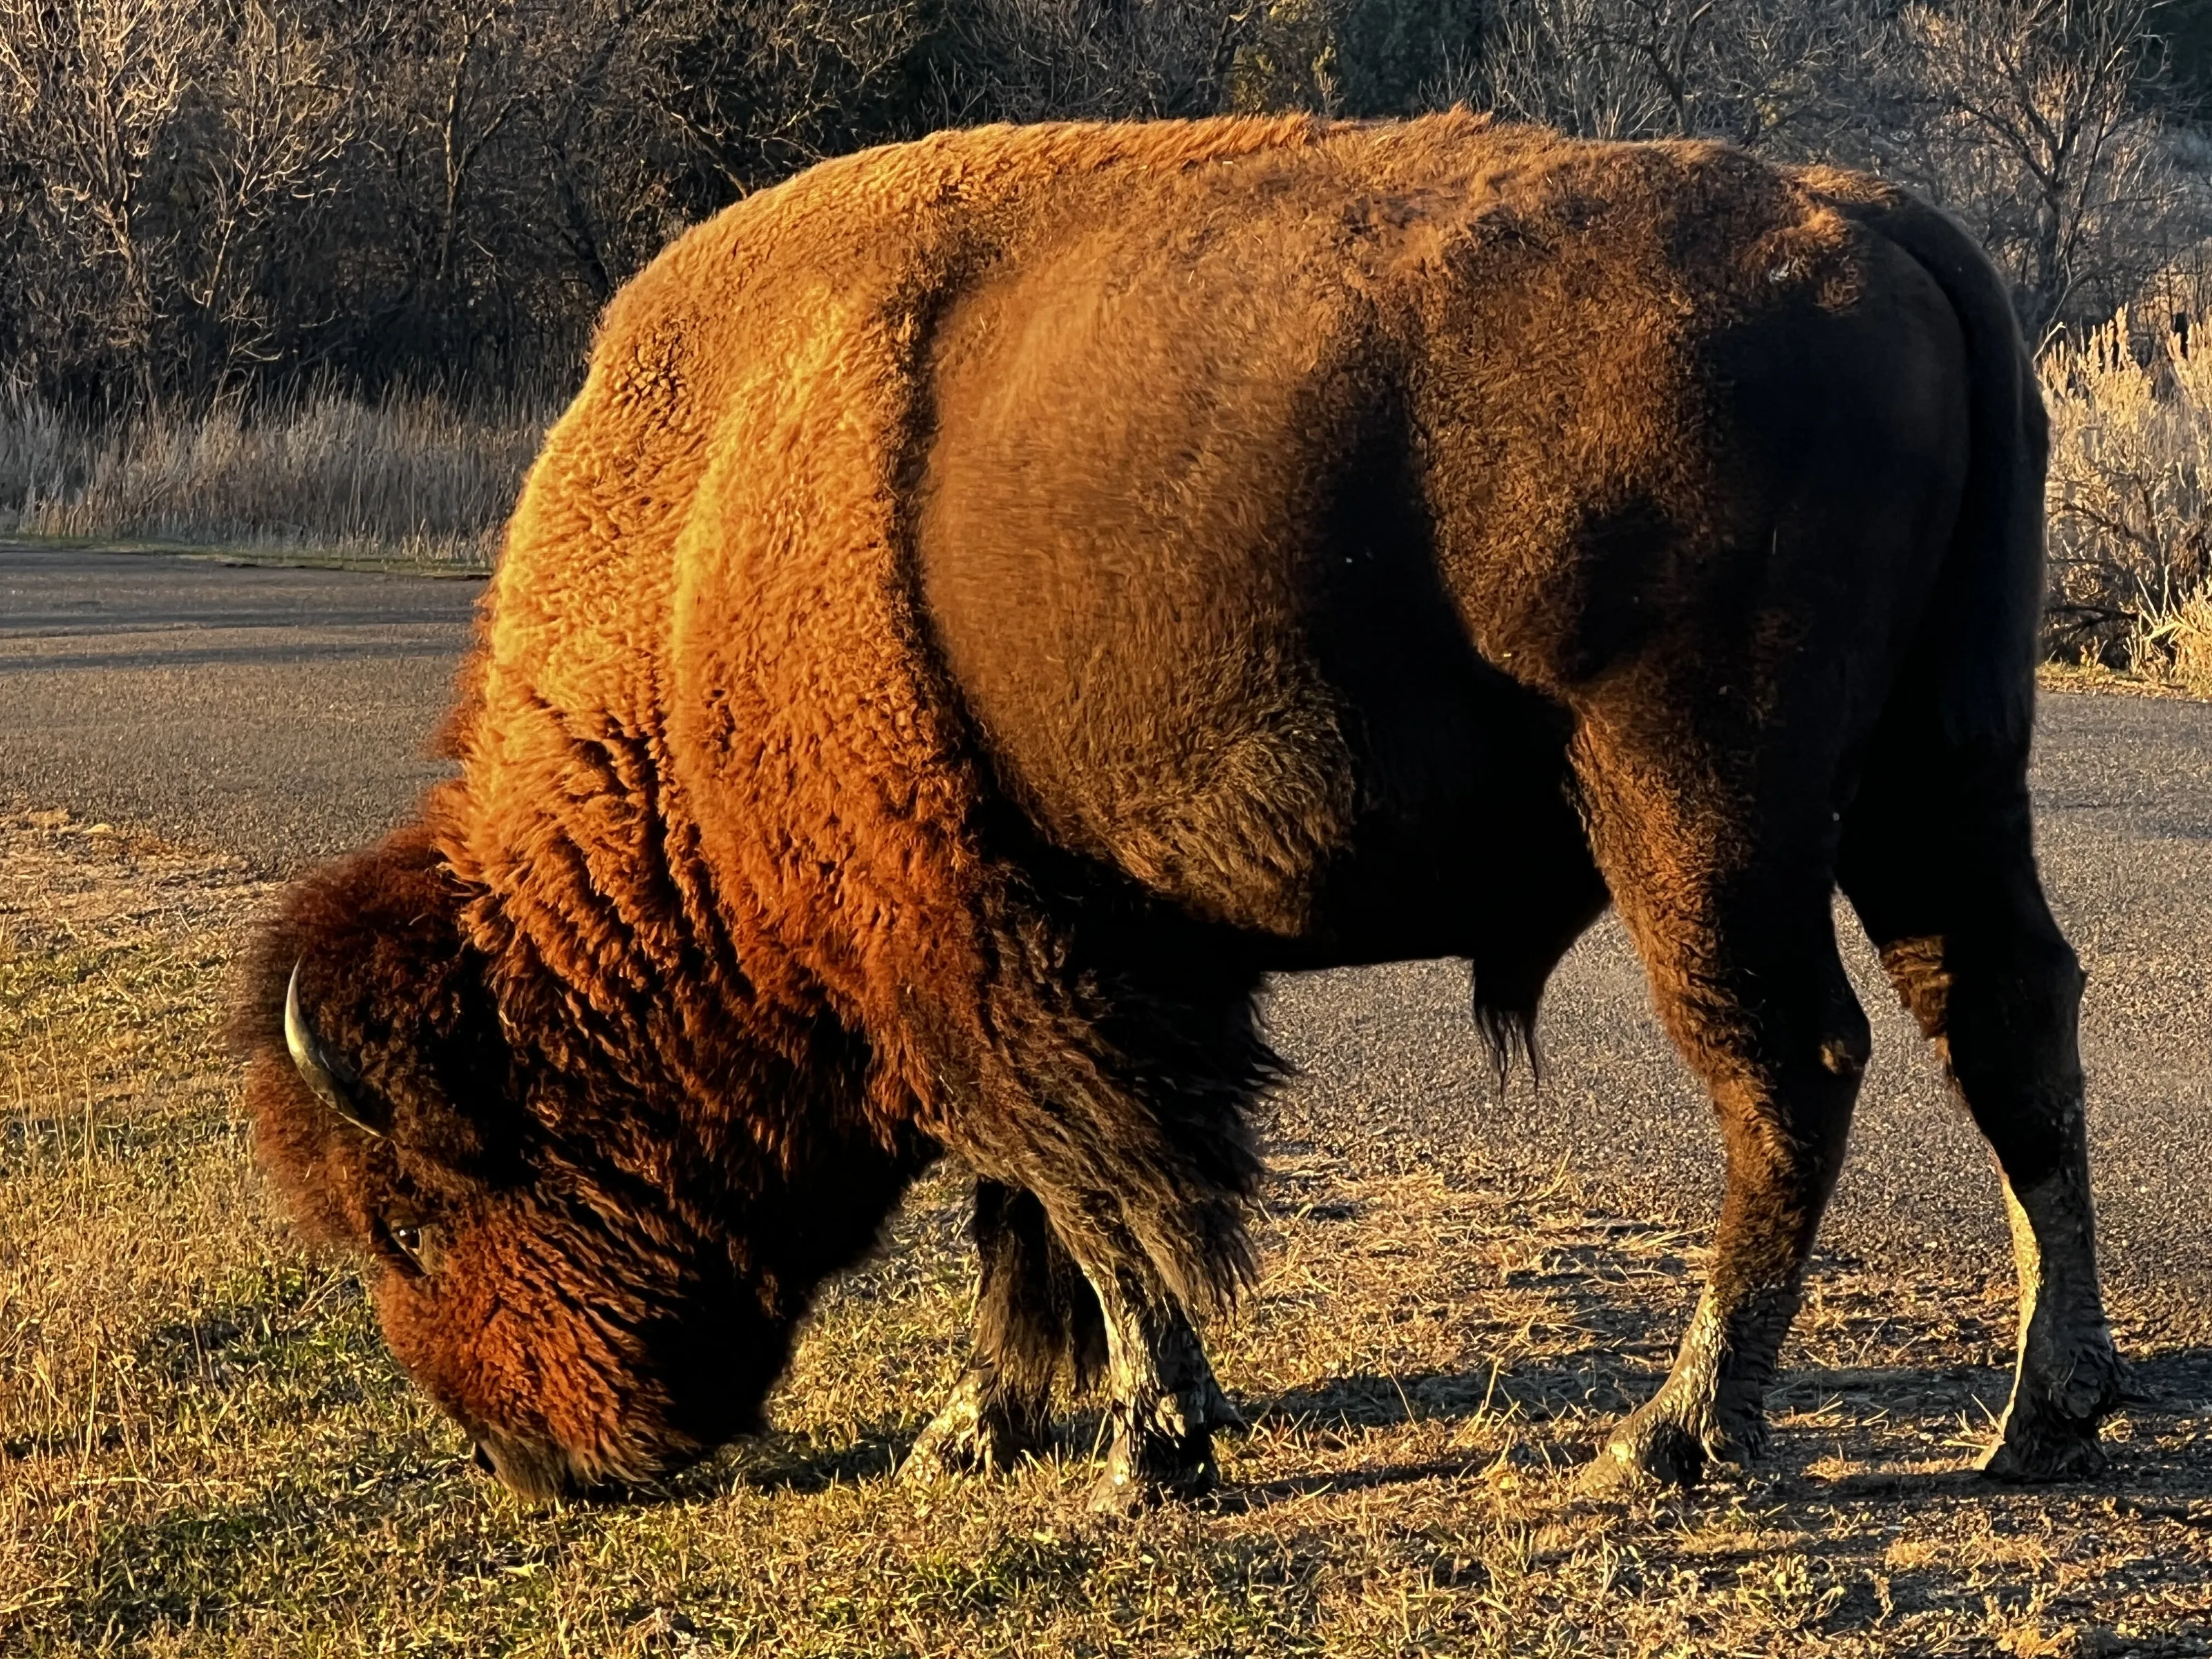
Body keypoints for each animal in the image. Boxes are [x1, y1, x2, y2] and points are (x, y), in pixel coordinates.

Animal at [244, 112, 2123, 1511]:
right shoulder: (1056, 942)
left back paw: (1674, 1434)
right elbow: (1031, 1207)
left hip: (1694, 802)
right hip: (1942, 771)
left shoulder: (981, 964)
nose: (520, 1457)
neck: (711, 553)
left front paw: (1147, 1446)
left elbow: (1089, 1197)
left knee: (1792, 1065)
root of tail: (1876, 226)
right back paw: (2044, 1415)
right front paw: (981, 1428)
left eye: (412, 1213)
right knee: (2006, 1016)